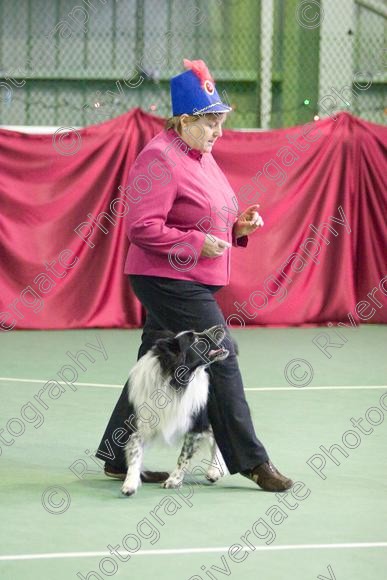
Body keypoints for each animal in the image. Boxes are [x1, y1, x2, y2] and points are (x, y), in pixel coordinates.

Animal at [123, 324, 229, 496]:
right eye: (195, 339)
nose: (221, 326)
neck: (174, 382)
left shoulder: (195, 424)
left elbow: (183, 456)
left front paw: (173, 480)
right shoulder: (142, 424)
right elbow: (135, 452)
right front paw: (130, 484)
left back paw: (214, 470)